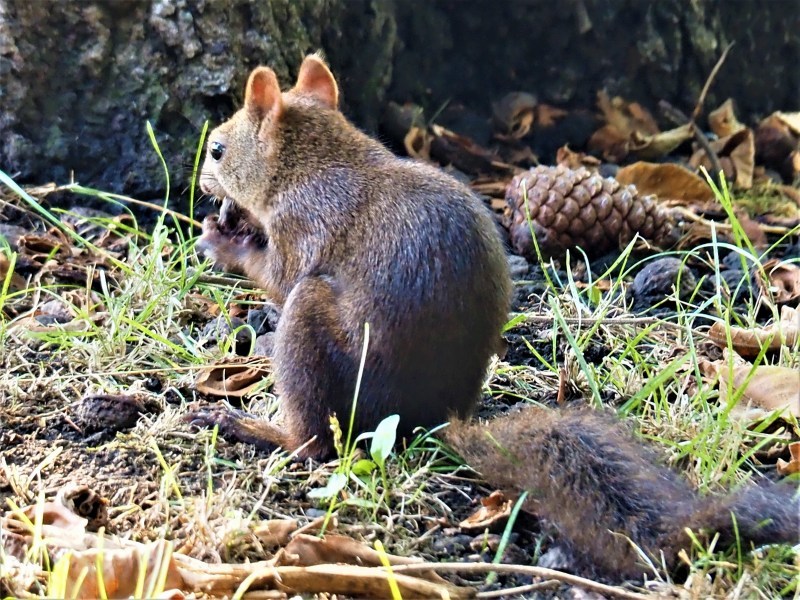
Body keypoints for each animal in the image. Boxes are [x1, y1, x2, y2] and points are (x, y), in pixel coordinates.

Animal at [189, 56, 800, 580]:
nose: (201, 185)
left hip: (313, 327)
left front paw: (223, 240)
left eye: (217, 149)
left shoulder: (303, 226)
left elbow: (277, 274)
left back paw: (256, 427)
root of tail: (426, 416)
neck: (314, 161)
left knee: (316, 441)